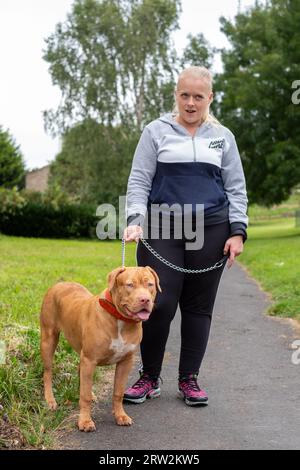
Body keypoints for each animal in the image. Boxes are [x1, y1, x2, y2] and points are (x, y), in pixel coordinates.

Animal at [41, 266, 162, 432]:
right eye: (129, 285)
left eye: (150, 284)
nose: (145, 300)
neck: (120, 319)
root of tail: (60, 283)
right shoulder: (90, 359)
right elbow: (84, 396)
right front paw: (85, 421)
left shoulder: (125, 362)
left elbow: (118, 392)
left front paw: (120, 416)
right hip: (48, 340)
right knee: (47, 372)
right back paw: (50, 400)